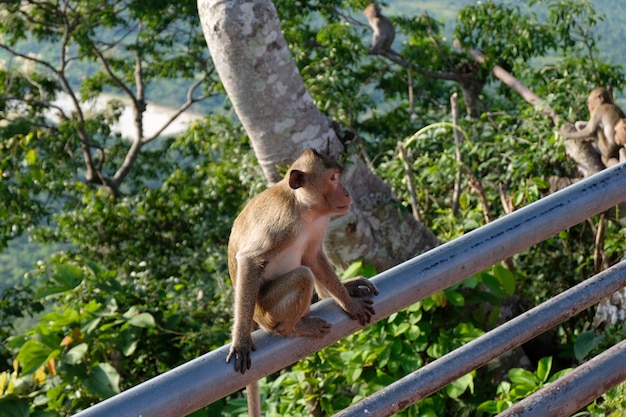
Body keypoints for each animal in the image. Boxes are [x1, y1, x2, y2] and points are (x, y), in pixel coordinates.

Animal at [227, 148, 378, 414]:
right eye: (332, 179)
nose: (346, 192)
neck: (303, 208)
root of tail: (257, 317)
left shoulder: (320, 222)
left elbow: (313, 256)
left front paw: (348, 295)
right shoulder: (281, 223)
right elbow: (250, 260)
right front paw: (241, 342)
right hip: (267, 309)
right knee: (302, 276)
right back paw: (291, 329)